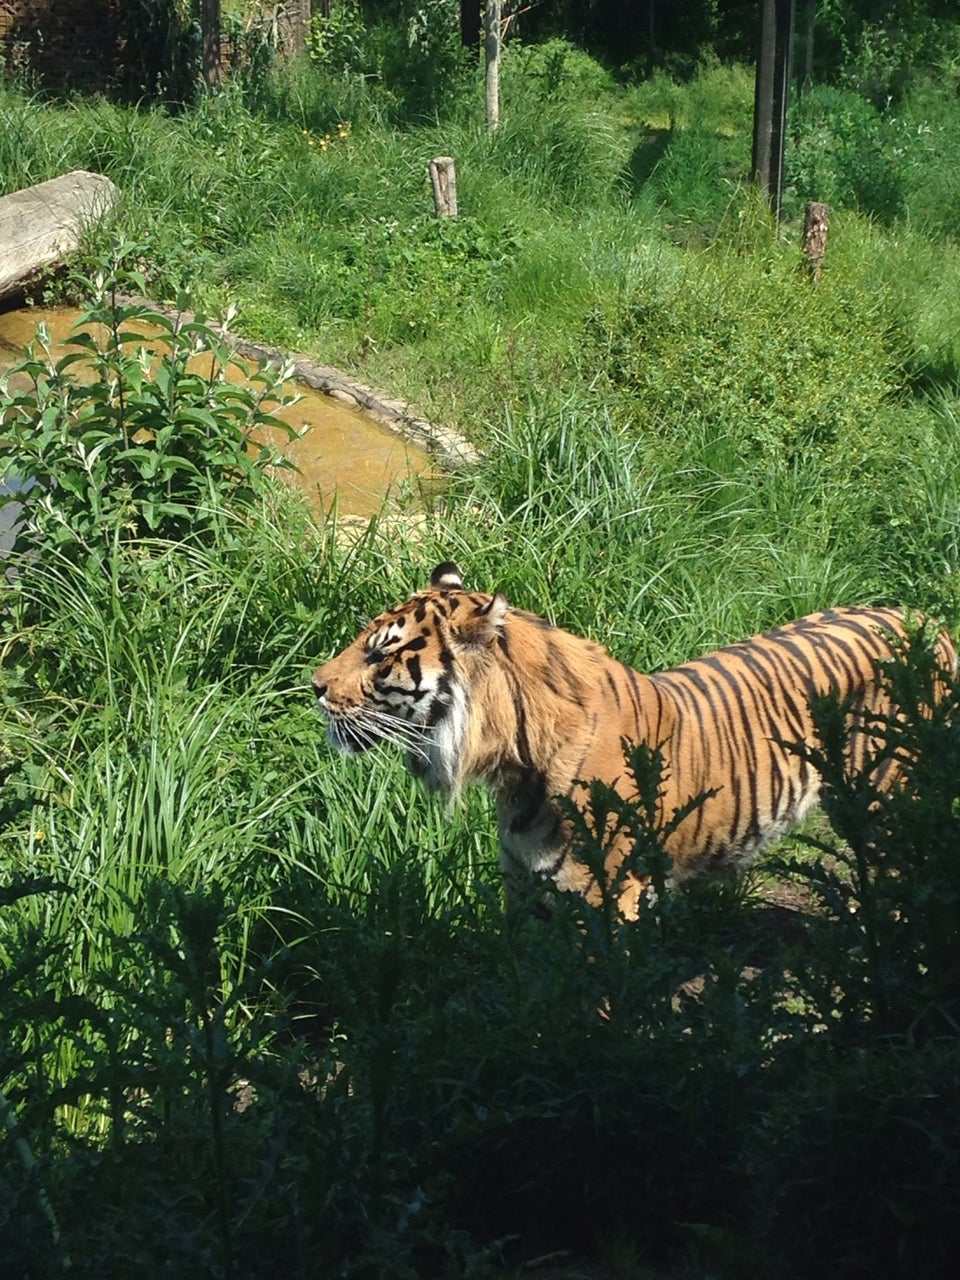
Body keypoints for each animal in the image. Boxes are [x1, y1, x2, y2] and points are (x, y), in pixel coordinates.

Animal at [312, 565, 957, 916]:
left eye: (381, 654)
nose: (314, 685)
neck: (514, 769)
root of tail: (929, 620)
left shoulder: (608, 898)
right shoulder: (523, 888)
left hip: (893, 800)